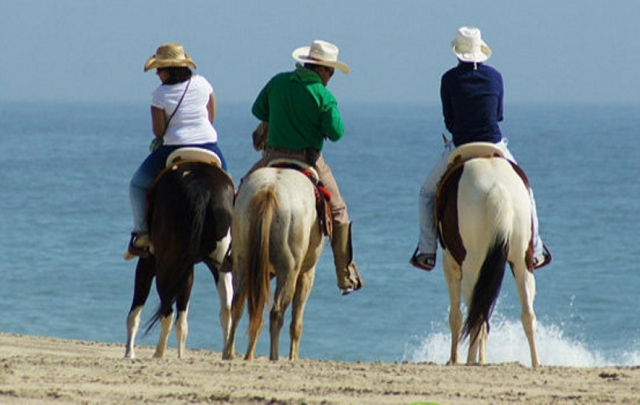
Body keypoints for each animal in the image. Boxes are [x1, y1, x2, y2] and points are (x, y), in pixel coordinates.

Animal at [124, 148, 235, 359]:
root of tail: (202, 187)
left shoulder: (148, 261)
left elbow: (135, 310)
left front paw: (129, 352)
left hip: (165, 264)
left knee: (167, 311)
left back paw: (158, 354)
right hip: (219, 263)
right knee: (225, 309)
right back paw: (226, 353)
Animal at [222, 164, 325, 361]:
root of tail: (270, 190)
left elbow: (257, 311)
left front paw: (249, 354)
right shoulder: (307, 274)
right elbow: (296, 323)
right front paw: (292, 357)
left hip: (242, 263)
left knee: (238, 304)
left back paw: (229, 353)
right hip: (289, 271)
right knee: (277, 312)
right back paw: (274, 357)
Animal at [436, 142, 539, 367]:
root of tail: (498, 189)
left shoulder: (450, 264)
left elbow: (456, 316)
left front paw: (454, 359)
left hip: (473, 268)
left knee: (477, 316)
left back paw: (470, 361)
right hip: (522, 262)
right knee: (527, 314)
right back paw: (536, 363)